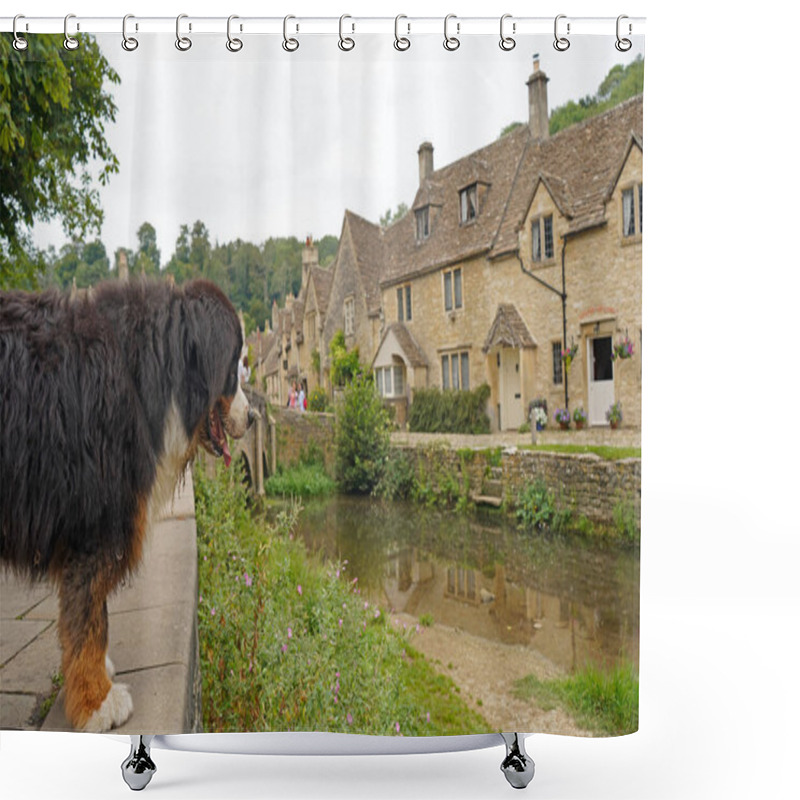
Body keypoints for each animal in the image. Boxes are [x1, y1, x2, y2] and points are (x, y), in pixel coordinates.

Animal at [0, 278, 255, 736]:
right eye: (233, 368)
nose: (256, 415)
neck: (153, 373)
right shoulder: (96, 524)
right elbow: (87, 617)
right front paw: (96, 702)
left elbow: (94, 617)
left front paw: (95, 677)